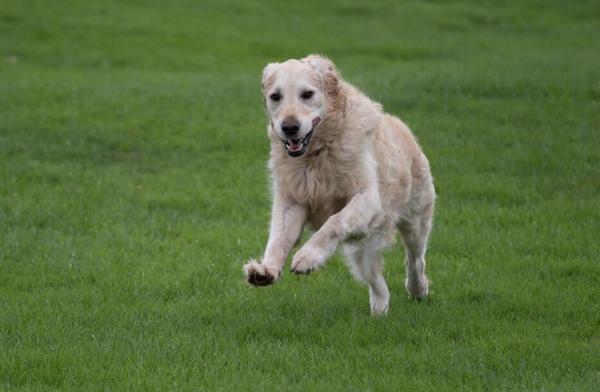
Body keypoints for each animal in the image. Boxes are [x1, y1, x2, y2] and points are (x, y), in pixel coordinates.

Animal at [244, 54, 436, 316]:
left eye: (307, 94)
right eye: (276, 96)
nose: (289, 127)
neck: (318, 152)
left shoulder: (368, 199)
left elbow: (334, 222)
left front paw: (308, 256)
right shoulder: (293, 200)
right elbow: (278, 238)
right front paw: (266, 270)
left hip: (415, 220)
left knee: (415, 260)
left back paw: (417, 289)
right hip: (361, 250)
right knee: (377, 282)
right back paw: (379, 310)